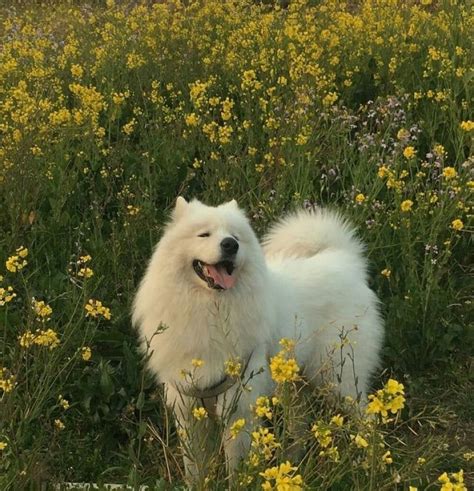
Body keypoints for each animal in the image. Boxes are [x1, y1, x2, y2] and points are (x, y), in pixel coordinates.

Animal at [131, 198, 384, 478]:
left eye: (235, 236)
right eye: (204, 234)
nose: (230, 245)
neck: (210, 309)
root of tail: (343, 259)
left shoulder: (239, 408)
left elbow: (236, 467)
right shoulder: (188, 409)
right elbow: (195, 468)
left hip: (340, 380)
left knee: (367, 419)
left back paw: (369, 461)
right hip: (296, 386)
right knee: (300, 425)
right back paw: (291, 463)